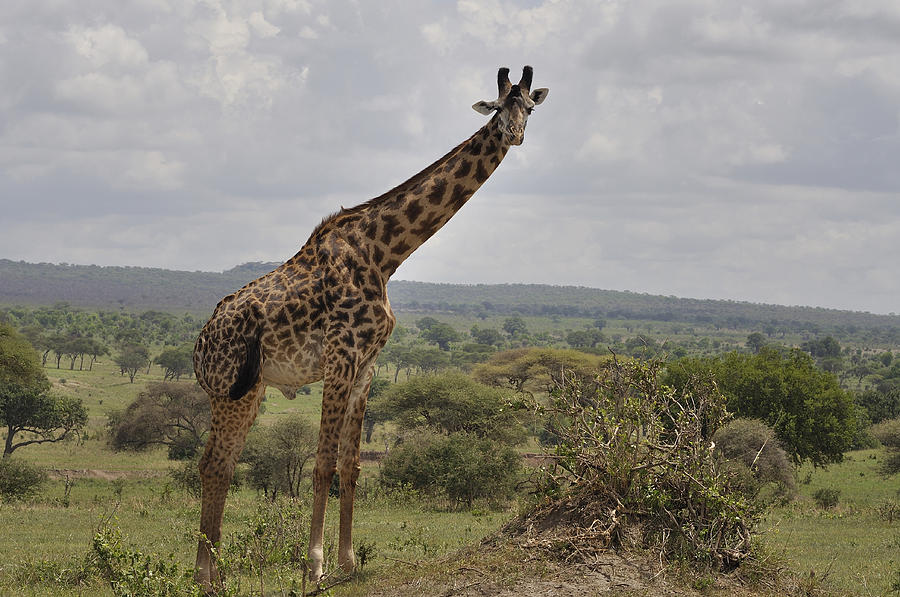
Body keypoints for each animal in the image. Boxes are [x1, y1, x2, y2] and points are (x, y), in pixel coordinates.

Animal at [192, 64, 548, 588]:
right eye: (500, 106)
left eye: (530, 109)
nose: (514, 134)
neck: (385, 255)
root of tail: (199, 344)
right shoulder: (340, 357)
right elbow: (321, 463)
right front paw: (313, 570)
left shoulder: (366, 366)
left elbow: (351, 465)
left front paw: (347, 563)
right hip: (228, 391)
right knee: (214, 464)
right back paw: (205, 575)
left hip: (250, 389)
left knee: (222, 462)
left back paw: (212, 574)